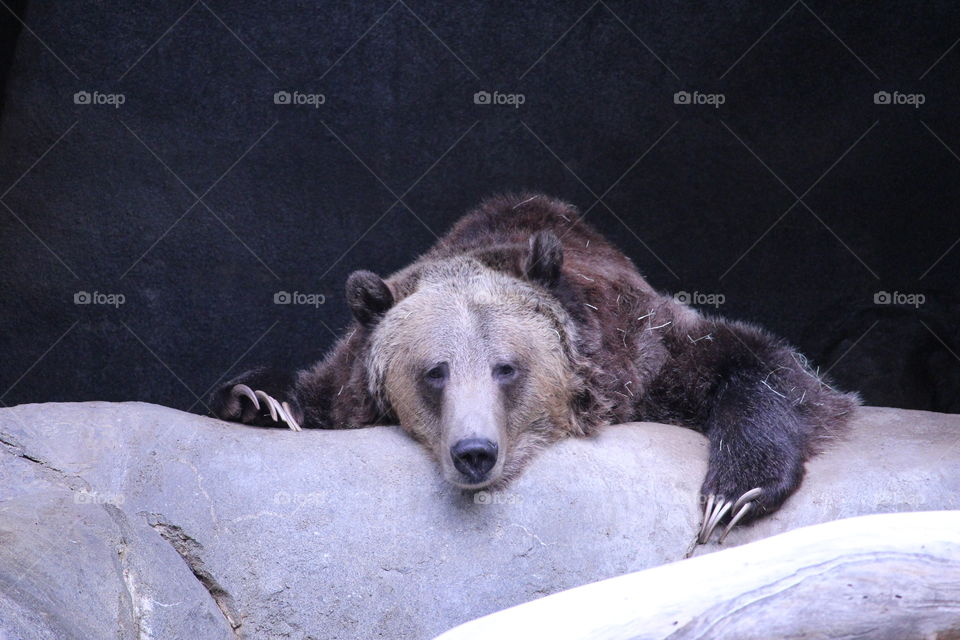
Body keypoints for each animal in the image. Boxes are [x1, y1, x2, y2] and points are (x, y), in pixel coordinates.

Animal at [210, 193, 859, 543]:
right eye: (435, 371)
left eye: (506, 368)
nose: (474, 452)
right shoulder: (351, 377)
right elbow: (306, 390)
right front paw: (260, 401)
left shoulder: (643, 349)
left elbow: (762, 362)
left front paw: (735, 491)